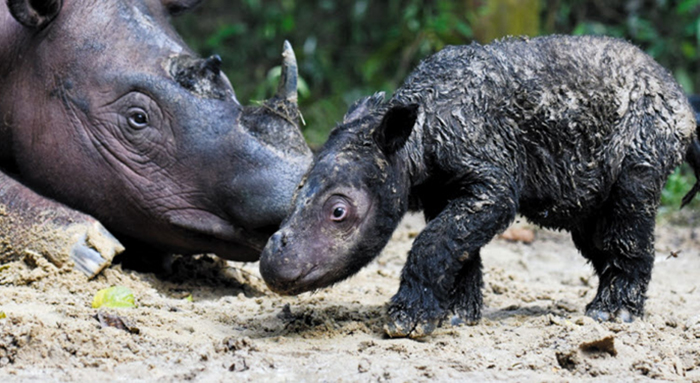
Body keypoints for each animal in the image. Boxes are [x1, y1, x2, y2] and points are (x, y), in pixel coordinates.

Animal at [260, 35, 696, 340]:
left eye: (339, 212)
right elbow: (456, 244)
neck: (412, 139)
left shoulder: (490, 181)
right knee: (592, 226)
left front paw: (406, 324)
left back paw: (612, 316)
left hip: (648, 132)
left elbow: (434, 241)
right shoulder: (441, 190)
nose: (271, 266)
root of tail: (682, 101)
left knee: (628, 206)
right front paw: (455, 317)